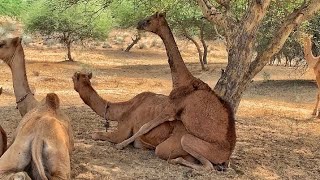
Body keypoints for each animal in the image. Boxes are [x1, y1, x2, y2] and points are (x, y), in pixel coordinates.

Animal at [116, 12, 236, 170]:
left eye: (149, 20)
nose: (138, 24)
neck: (181, 80)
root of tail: (227, 156)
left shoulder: (171, 110)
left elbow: (144, 126)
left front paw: (120, 145)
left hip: (189, 140)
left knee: (208, 166)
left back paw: (177, 161)